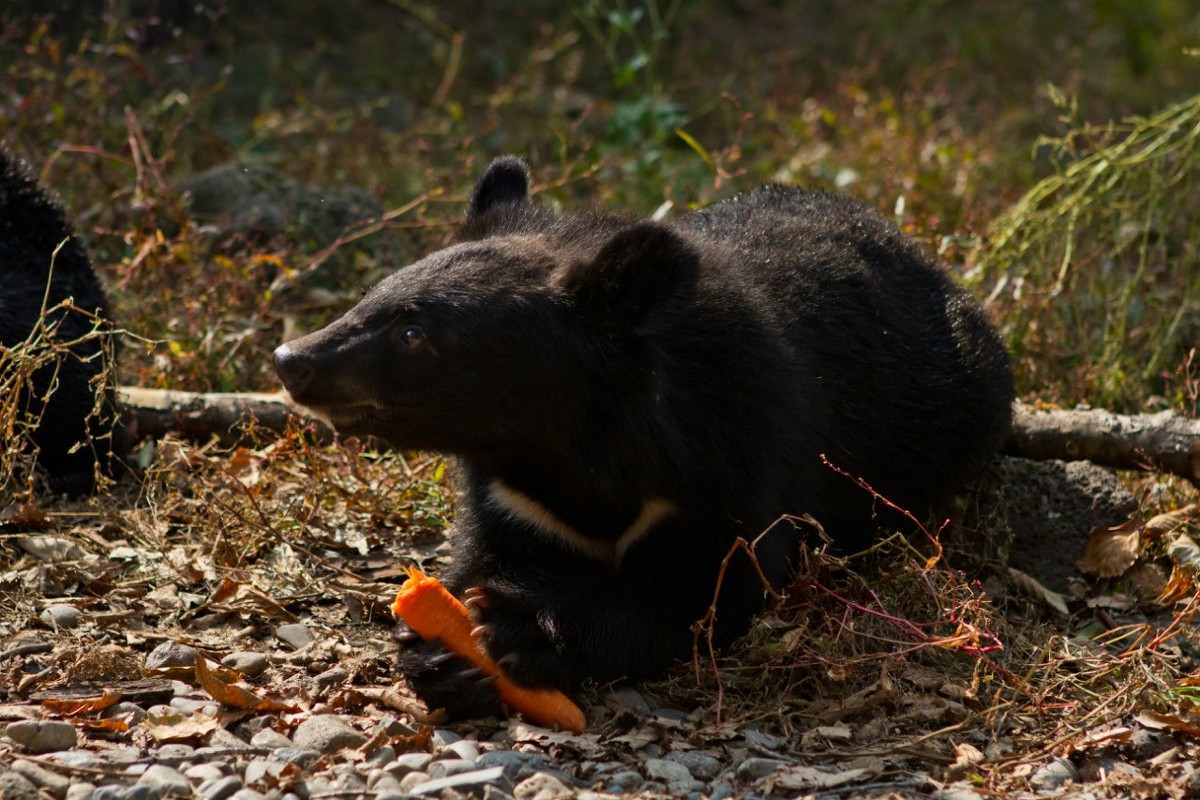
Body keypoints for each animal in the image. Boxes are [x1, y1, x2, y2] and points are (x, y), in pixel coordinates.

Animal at [272, 158, 1012, 719]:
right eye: (368, 298)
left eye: (412, 333)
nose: (291, 359)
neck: (574, 450)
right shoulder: (510, 495)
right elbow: (482, 557)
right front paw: (439, 652)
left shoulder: (736, 461)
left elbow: (710, 589)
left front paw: (517, 633)